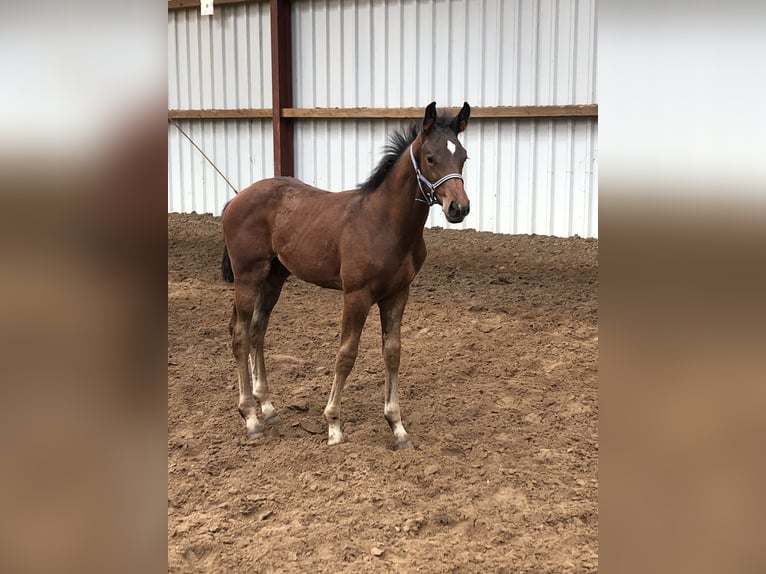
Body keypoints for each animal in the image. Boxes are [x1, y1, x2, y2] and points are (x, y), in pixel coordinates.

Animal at [222, 103, 472, 452]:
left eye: (463, 156)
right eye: (431, 157)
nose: (458, 208)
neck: (384, 223)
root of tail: (236, 198)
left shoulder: (398, 294)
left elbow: (392, 352)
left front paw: (397, 427)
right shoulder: (356, 295)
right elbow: (346, 355)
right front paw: (334, 425)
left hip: (274, 277)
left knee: (258, 329)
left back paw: (268, 407)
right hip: (248, 275)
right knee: (241, 333)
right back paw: (250, 418)